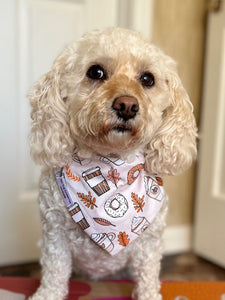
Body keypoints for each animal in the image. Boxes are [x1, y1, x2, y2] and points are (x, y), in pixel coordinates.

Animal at [28, 27, 197, 298]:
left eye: (148, 79)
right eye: (95, 72)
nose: (127, 105)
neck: (111, 163)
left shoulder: (149, 245)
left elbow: (148, 278)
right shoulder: (54, 236)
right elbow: (54, 275)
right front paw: (46, 295)